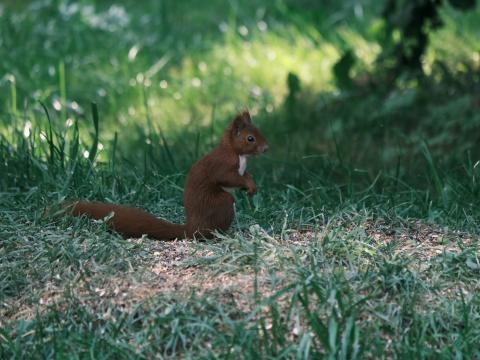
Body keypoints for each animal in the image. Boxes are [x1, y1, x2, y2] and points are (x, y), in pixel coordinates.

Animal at [66, 109, 270, 239]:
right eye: (250, 138)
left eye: (260, 132)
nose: (266, 148)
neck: (237, 154)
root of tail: (192, 228)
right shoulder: (222, 165)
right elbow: (227, 177)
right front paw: (249, 185)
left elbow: (245, 175)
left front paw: (251, 185)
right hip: (221, 203)